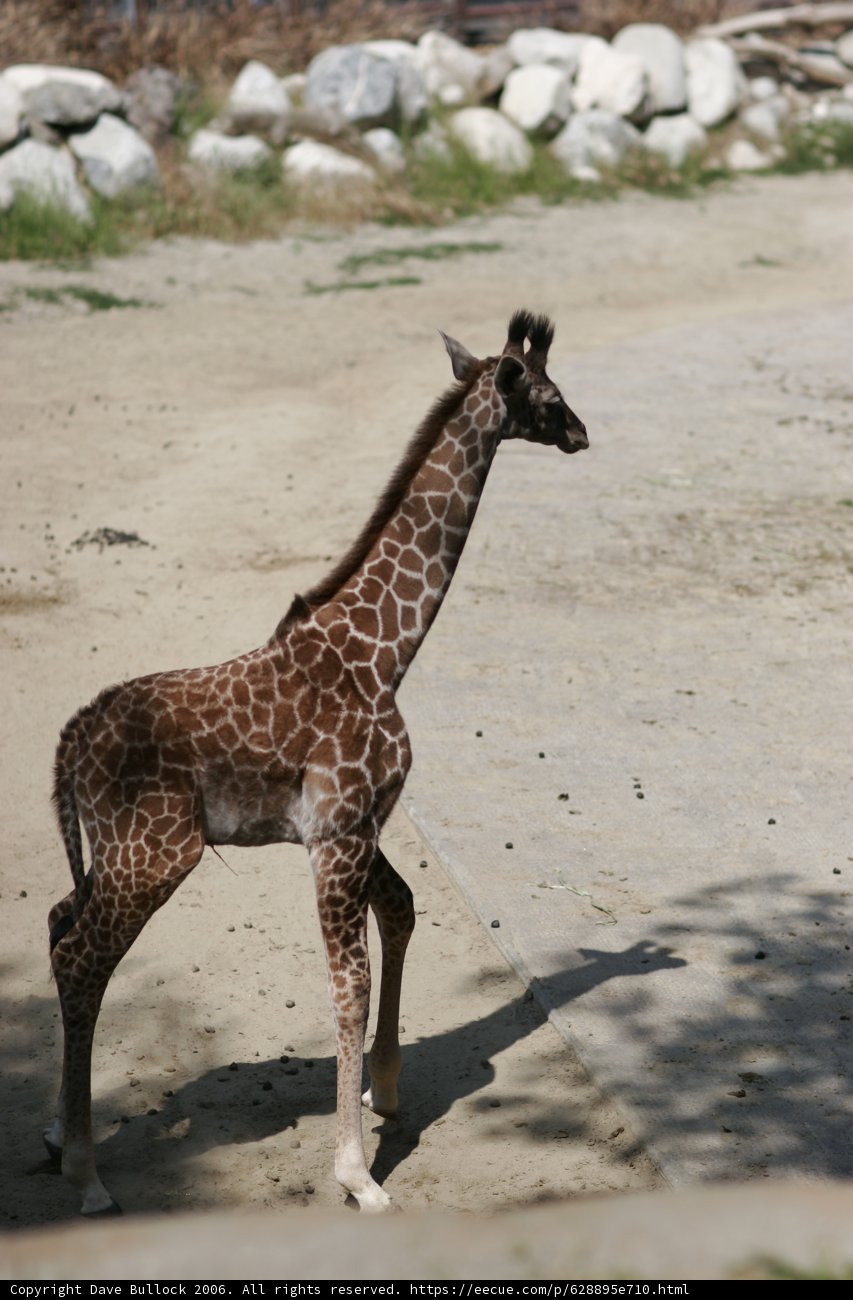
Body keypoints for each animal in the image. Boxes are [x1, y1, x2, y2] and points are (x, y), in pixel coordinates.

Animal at [45, 309, 588, 1217]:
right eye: (547, 396)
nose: (582, 433)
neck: (384, 651)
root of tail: (69, 745)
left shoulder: (353, 826)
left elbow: (400, 912)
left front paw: (387, 1089)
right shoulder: (338, 834)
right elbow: (348, 985)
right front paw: (357, 1173)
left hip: (111, 855)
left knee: (57, 923)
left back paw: (55, 1136)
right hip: (156, 852)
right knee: (80, 959)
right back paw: (88, 1177)